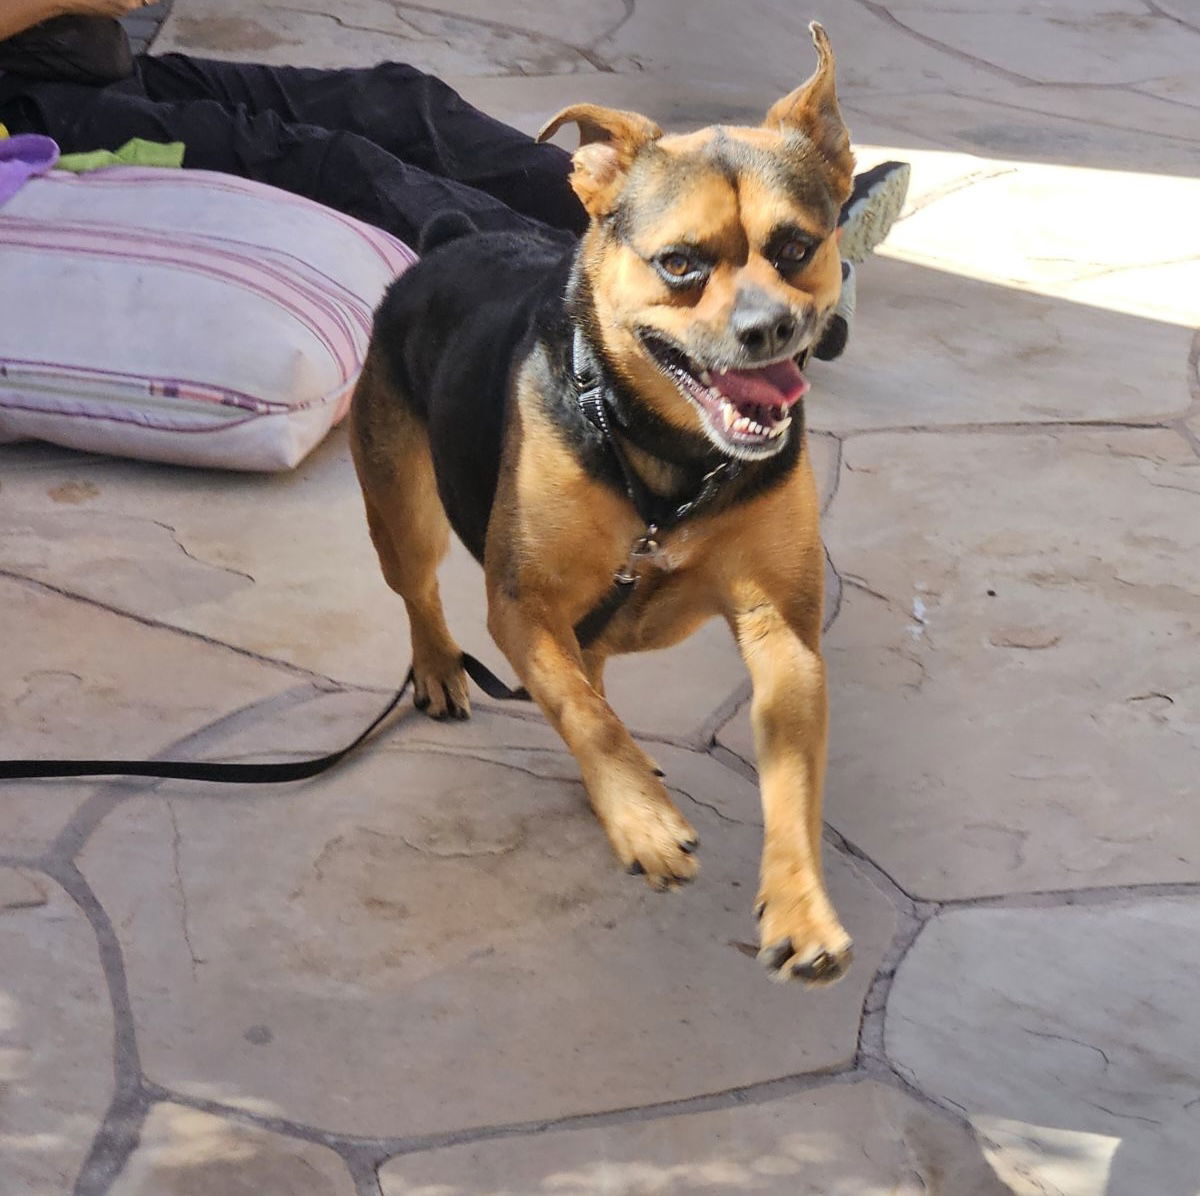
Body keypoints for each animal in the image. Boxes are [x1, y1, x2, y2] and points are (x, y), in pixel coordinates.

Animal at [350, 23, 859, 983]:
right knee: (421, 592)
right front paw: (643, 822)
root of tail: (446, 238)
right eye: (680, 264)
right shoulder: (524, 603)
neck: (670, 464)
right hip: (401, 509)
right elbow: (584, 714)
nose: (771, 328)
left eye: (796, 248)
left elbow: (794, 783)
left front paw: (802, 905)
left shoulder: (782, 633)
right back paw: (439, 668)